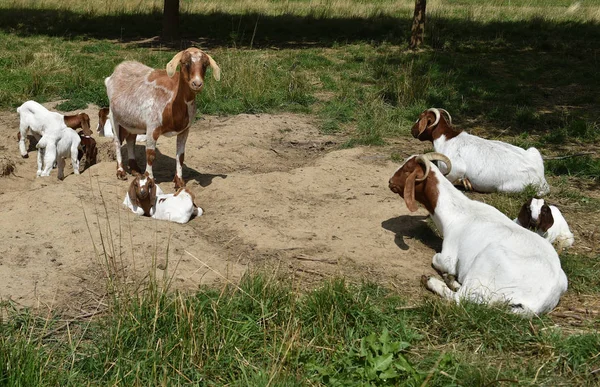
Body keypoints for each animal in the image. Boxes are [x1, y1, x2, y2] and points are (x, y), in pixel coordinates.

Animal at [105, 47, 220, 189]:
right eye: (185, 63)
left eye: (205, 65)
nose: (197, 83)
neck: (173, 103)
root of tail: (116, 71)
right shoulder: (152, 128)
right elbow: (150, 155)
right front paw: (150, 179)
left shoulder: (184, 130)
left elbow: (181, 156)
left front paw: (179, 181)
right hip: (114, 116)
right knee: (117, 141)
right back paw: (121, 171)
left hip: (132, 122)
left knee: (131, 140)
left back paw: (135, 169)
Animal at [412, 107, 548, 196]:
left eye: (419, 118)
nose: (412, 130)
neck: (447, 138)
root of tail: (542, 180)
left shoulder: (455, 168)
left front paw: (465, 183)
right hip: (533, 150)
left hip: (506, 188)